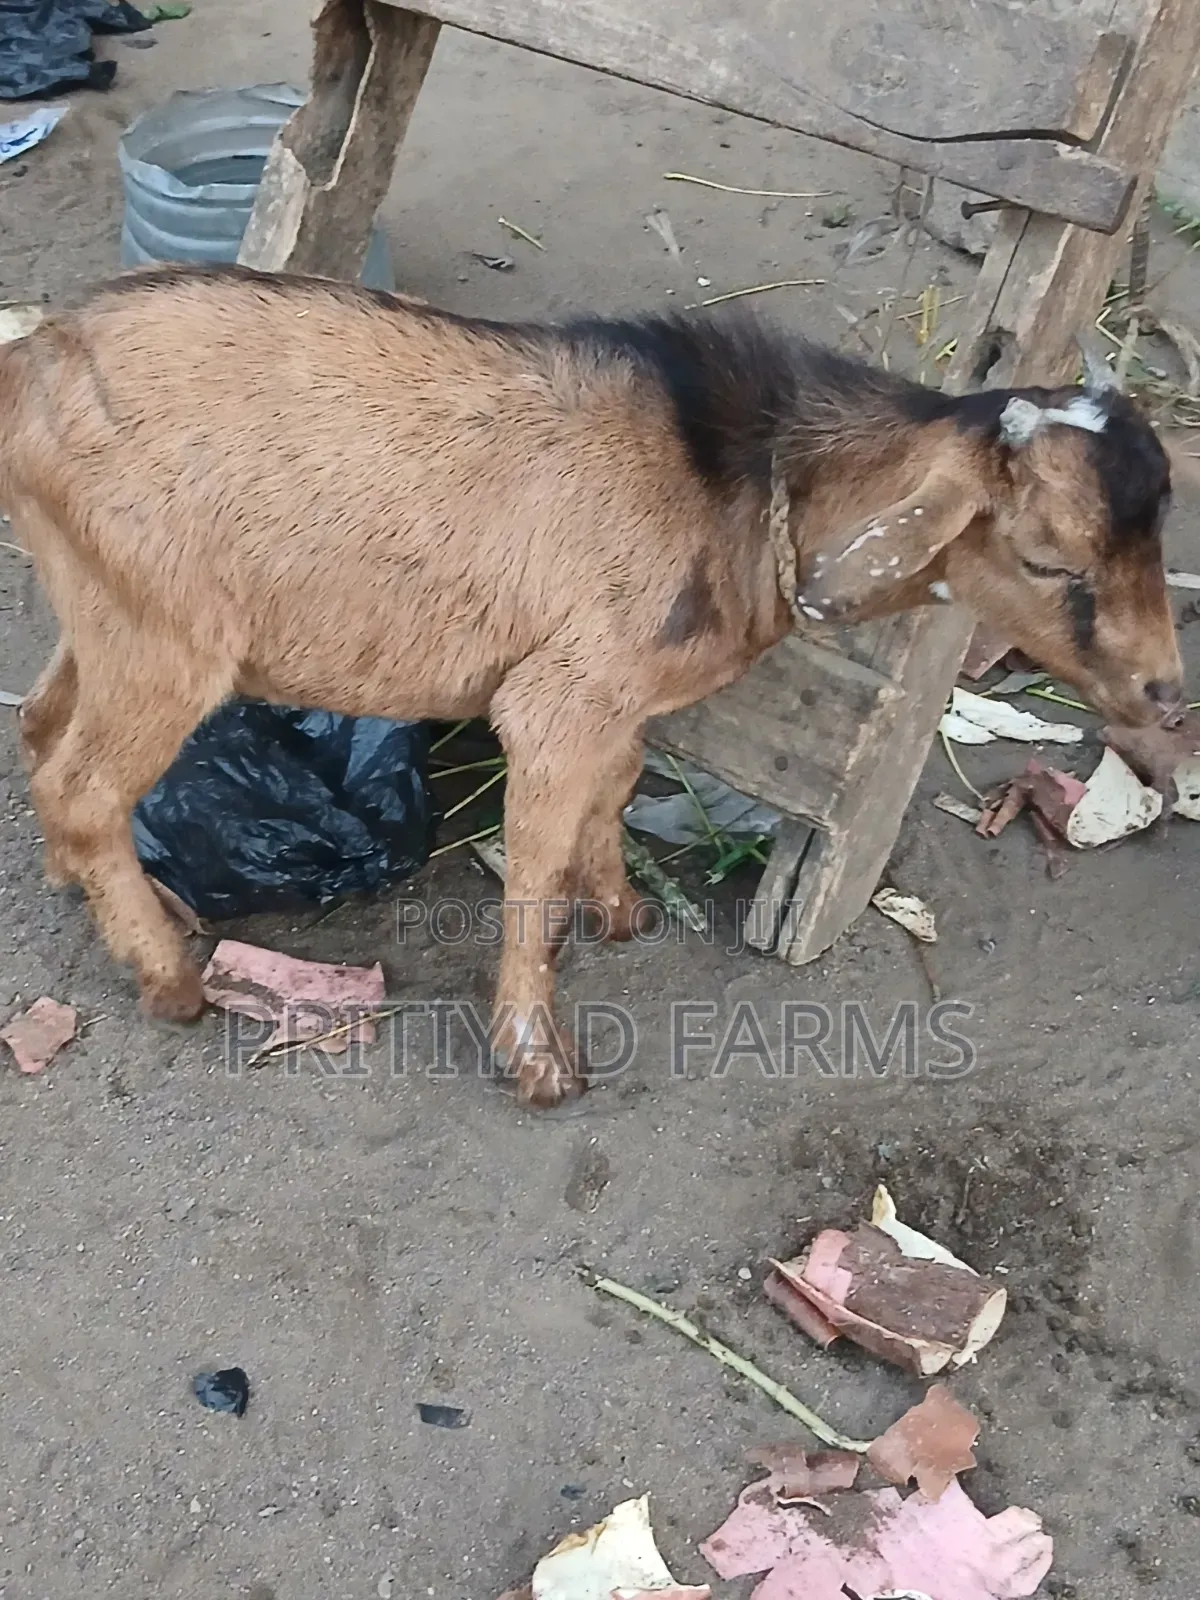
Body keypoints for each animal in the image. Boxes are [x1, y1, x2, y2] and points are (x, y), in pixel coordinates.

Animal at [0, 265, 1184, 1108]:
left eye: (1159, 527)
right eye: (1048, 562)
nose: (1167, 694)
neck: (733, 474)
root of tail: (36, 361)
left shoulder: (623, 692)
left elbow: (614, 787)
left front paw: (616, 908)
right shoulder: (561, 697)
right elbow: (533, 853)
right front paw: (537, 1057)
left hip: (103, 609)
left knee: (44, 729)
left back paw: (95, 889)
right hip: (168, 637)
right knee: (86, 784)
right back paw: (168, 979)